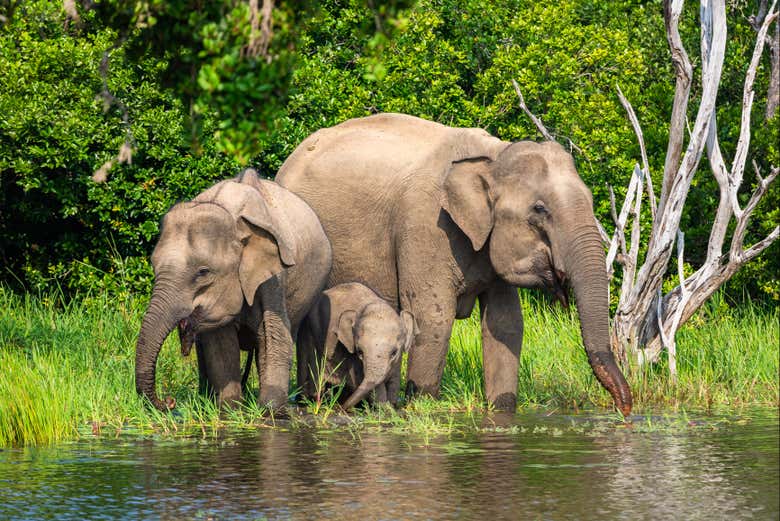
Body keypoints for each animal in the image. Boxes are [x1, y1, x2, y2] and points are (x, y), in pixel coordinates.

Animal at [134, 169, 330, 408]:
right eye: (154, 267)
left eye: (203, 272)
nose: (169, 402)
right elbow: (220, 344)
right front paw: (230, 408)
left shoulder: (274, 276)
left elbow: (274, 335)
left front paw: (271, 410)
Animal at [274, 114, 632, 414]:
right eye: (540, 210)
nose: (625, 411)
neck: (493, 156)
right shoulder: (426, 225)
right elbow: (434, 318)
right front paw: (420, 406)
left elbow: (505, 323)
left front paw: (501, 410)